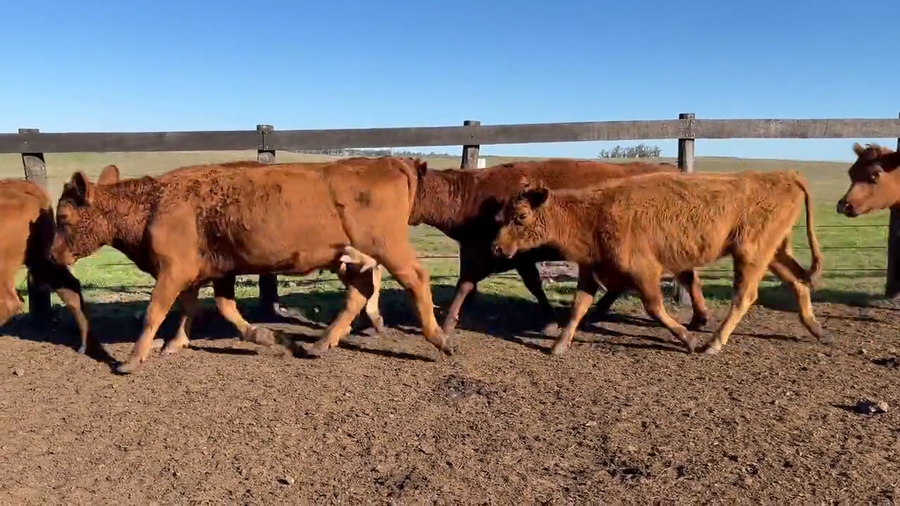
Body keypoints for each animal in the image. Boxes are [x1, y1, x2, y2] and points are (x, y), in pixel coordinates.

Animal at [51, 157, 450, 374]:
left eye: (64, 217)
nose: (53, 256)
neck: (153, 204)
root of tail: (388, 161)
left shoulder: (173, 271)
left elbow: (155, 312)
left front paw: (132, 359)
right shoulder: (210, 272)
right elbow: (208, 308)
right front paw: (267, 337)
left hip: (388, 248)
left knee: (416, 278)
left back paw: (440, 339)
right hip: (348, 258)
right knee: (360, 291)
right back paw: (322, 343)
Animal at [408, 158, 712, 334]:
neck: (473, 195)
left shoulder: (509, 254)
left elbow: (528, 284)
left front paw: (550, 320)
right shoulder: (489, 252)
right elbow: (466, 284)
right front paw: (449, 321)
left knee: (680, 277)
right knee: (680, 276)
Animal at [491, 170, 829, 356]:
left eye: (521, 216)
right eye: (502, 216)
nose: (497, 247)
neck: (593, 213)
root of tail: (785, 176)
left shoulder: (645, 272)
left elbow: (654, 308)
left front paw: (688, 338)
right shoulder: (590, 271)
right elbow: (578, 308)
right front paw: (559, 344)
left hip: (750, 255)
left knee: (745, 295)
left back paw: (712, 344)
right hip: (772, 254)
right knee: (799, 281)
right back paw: (818, 330)